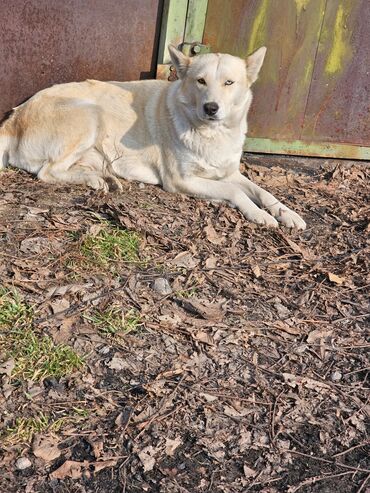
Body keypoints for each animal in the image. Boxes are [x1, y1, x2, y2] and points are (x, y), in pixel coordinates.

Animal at [0, 44, 306, 229]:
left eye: (229, 83)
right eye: (201, 81)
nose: (211, 108)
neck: (211, 134)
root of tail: (14, 116)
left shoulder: (228, 173)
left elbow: (263, 191)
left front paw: (287, 213)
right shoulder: (181, 180)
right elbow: (235, 192)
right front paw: (259, 214)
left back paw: (104, 179)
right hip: (90, 114)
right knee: (47, 172)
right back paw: (94, 180)